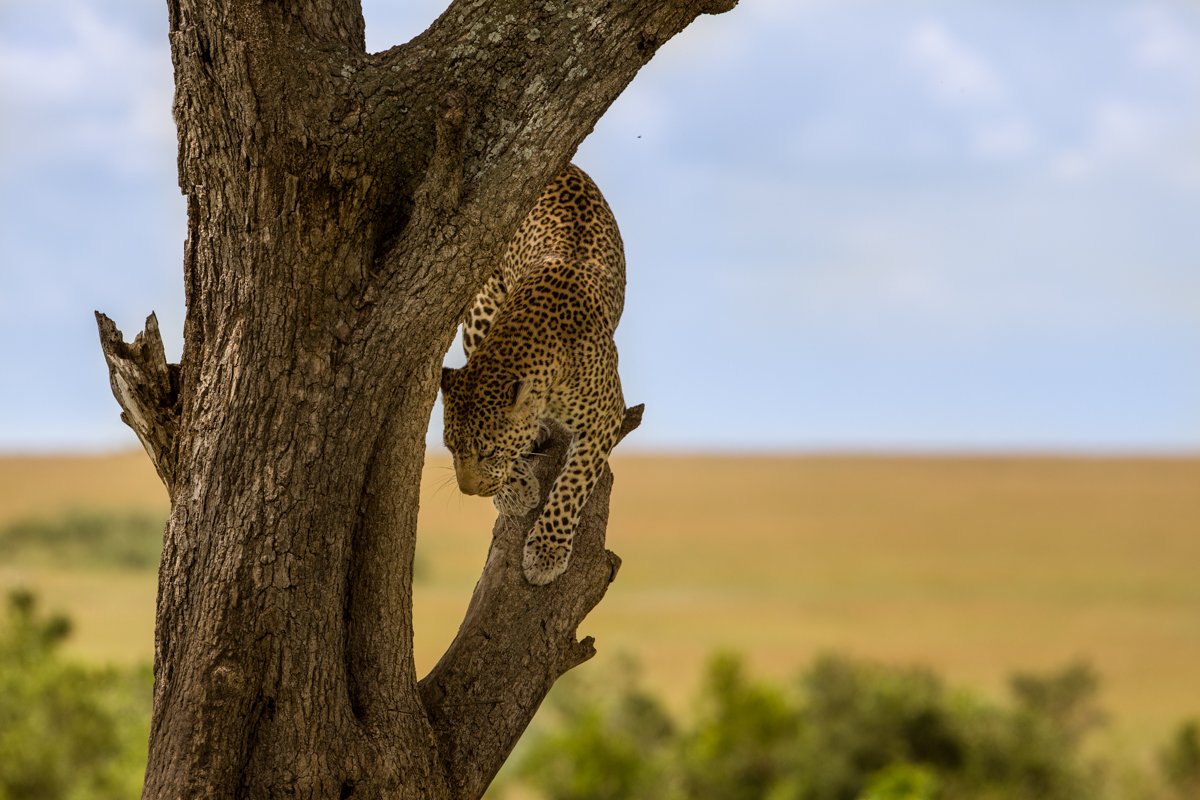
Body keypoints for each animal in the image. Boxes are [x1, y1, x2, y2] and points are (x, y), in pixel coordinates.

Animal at [441, 164, 628, 587]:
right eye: (449, 448)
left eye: (487, 451)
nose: (469, 491)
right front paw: (516, 490)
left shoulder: (607, 415)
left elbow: (573, 483)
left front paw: (546, 551)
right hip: (478, 308)